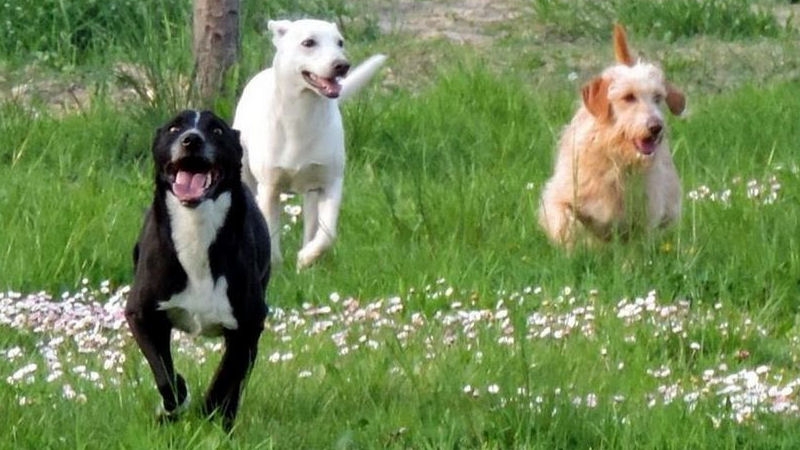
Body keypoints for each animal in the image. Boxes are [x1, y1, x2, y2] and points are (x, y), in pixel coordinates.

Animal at [125, 110, 270, 431]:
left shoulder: (248, 324)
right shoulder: (141, 314)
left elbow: (228, 375)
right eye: (174, 128)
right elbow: (164, 375)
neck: (196, 228)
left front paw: (211, 412)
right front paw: (174, 405)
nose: (191, 140)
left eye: (216, 130)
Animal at [232, 18, 386, 269]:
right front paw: (275, 267)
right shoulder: (269, 188)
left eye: (340, 42)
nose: (342, 65)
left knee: (312, 224)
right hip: (247, 174)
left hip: (312, 192)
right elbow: (270, 234)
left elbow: (327, 233)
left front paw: (307, 257)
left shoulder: (330, 183)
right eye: (308, 43)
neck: (302, 116)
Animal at [538, 24, 686, 248]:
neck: (615, 158)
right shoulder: (559, 197)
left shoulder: (643, 217)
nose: (656, 127)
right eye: (628, 97)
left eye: (658, 97)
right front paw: (572, 250)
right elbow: (567, 222)